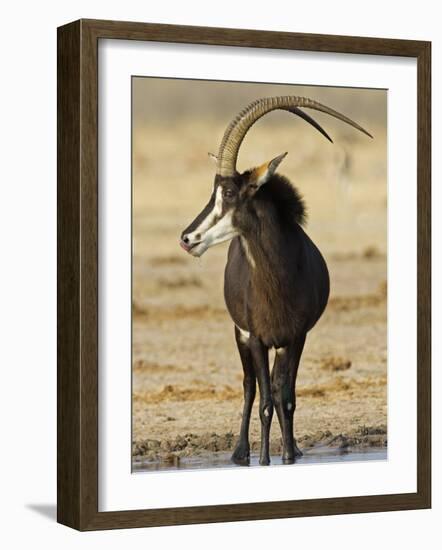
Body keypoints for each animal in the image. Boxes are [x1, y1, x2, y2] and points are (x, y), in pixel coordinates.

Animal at [179, 96, 370, 466]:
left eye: (228, 192)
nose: (187, 238)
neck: (277, 280)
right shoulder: (255, 338)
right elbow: (265, 401)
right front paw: (265, 460)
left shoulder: (295, 338)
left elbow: (287, 398)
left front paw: (289, 456)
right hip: (241, 336)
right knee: (250, 386)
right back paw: (241, 452)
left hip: (280, 344)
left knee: (281, 390)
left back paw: (290, 447)